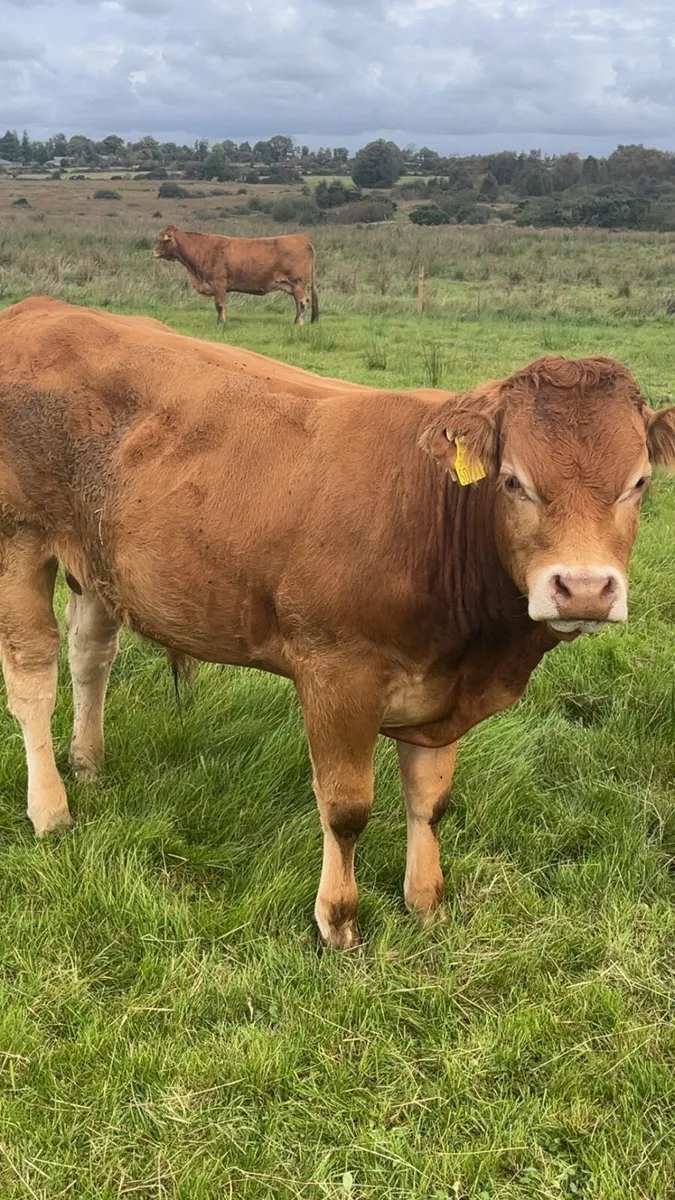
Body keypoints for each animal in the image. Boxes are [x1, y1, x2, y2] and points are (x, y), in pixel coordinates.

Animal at [0, 296, 673, 948]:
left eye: (639, 482)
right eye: (513, 481)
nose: (583, 589)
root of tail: (37, 310)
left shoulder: (439, 690)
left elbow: (430, 802)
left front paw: (426, 903)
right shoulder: (335, 674)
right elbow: (347, 808)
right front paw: (339, 921)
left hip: (98, 560)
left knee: (90, 654)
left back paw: (87, 763)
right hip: (20, 541)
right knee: (33, 675)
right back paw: (51, 810)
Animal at [153, 224, 319, 326]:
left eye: (162, 240)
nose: (154, 252)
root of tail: (303, 238)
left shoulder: (219, 284)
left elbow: (219, 305)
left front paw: (221, 322)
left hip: (298, 283)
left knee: (303, 302)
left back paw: (298, 324)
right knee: (298, 303)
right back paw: (295, 321)